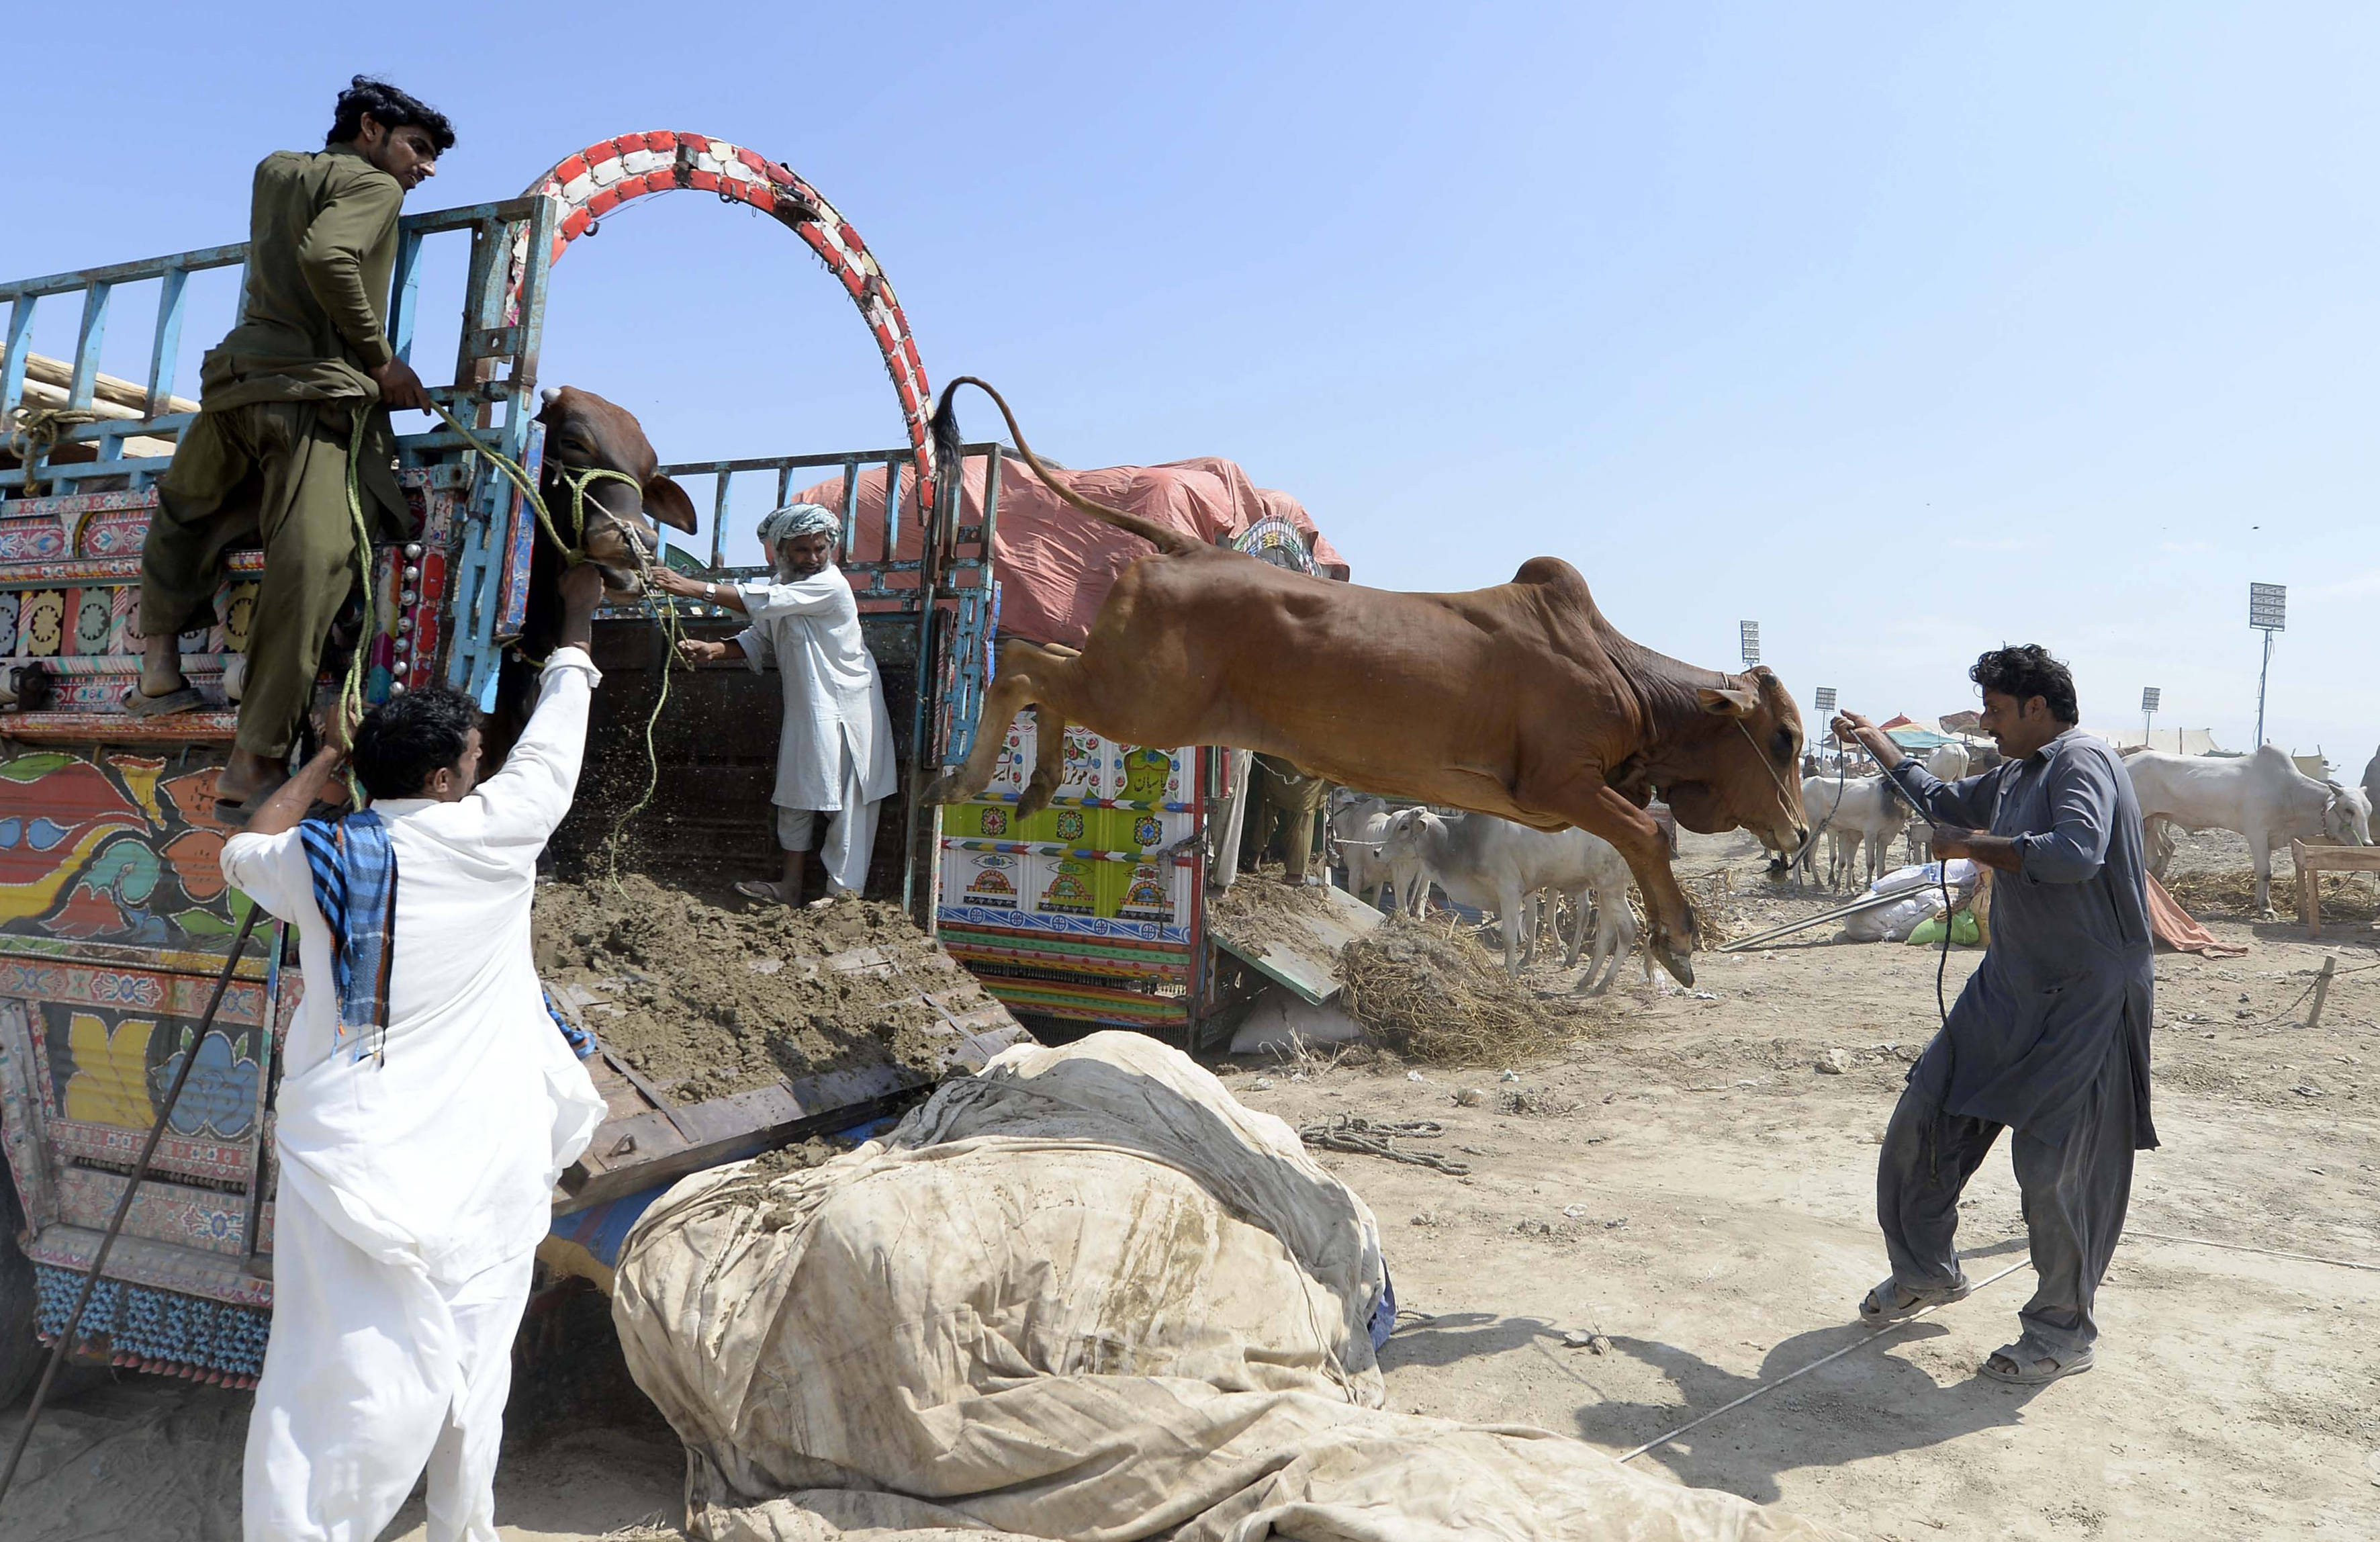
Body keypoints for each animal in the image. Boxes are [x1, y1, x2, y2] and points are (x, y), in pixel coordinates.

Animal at [1389, 809, 1647, 989]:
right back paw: (1588, 979)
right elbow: (1531, 921)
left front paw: (1511, 974)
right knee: (1606, 932)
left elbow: (1509, 937)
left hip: (1613, 889)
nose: (1381, 852)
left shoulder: (1509, 891)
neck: (1466, 841)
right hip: (1604, 891)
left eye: (1404, 827)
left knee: (1628, 928)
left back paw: (1603, 983)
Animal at [1799, 771, 1913, 890]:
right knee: (1806, 853)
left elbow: (1881, 865)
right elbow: (1871, 863)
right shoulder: (1870, 833)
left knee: (1810, 854)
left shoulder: (1884, 837)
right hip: (1813, 828)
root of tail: (1805, 783)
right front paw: (1867, 886)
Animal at [2132, 742, 2370, 909]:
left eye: (2368, 811)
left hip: (2151, 821)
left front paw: (2259, 901)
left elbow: (2261, 871)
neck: (2289, 792)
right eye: (2349, 809)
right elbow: (2265, 871)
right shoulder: (2257, 833)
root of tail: (2127, 761)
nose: (2367, 843)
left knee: (2154, 857)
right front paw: (2266, 908)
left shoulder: (2270, 837)